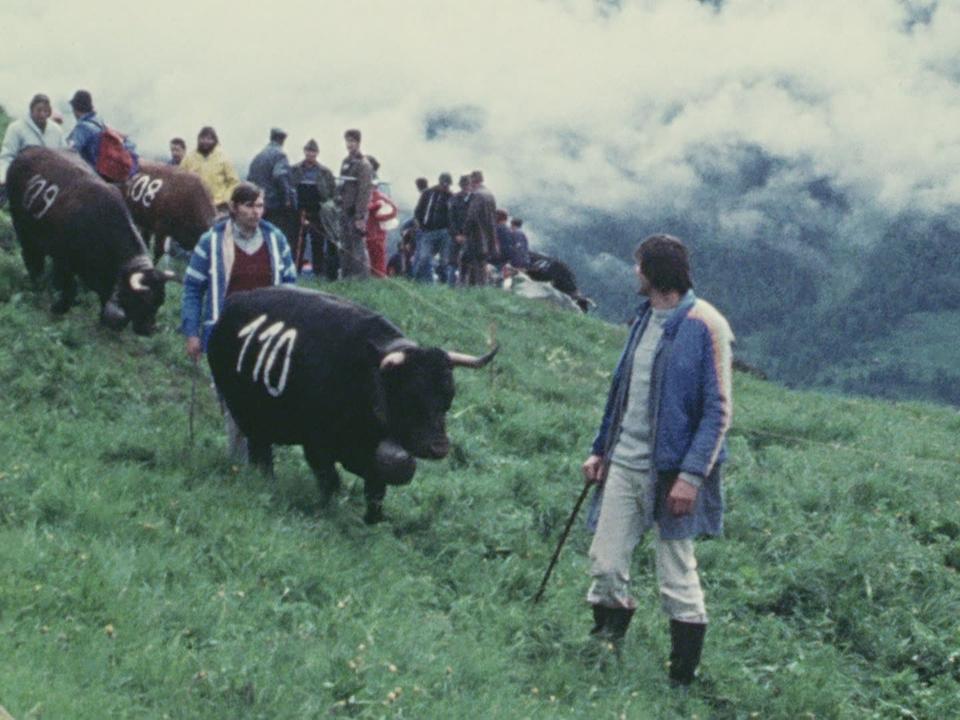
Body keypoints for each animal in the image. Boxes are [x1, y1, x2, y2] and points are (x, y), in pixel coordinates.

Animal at [6, 150, 174, 336]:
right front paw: (59, 307)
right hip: (23, 228)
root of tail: (28, 151)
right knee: (31, 257)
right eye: (144, 299)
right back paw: (37, 283)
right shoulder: (63, 262)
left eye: (160, 300)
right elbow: (70, 289)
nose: (150, 329)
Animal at [206, 286, 498, 524]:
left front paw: (372, 519)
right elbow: (331, 481)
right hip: (244, 411)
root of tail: (234, 301)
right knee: (260, 452)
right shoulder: (316, 444)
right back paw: (265, 482)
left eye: (448, 397)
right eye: (410, 394)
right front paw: (329, 512)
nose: (439, 447)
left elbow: (377, 488)